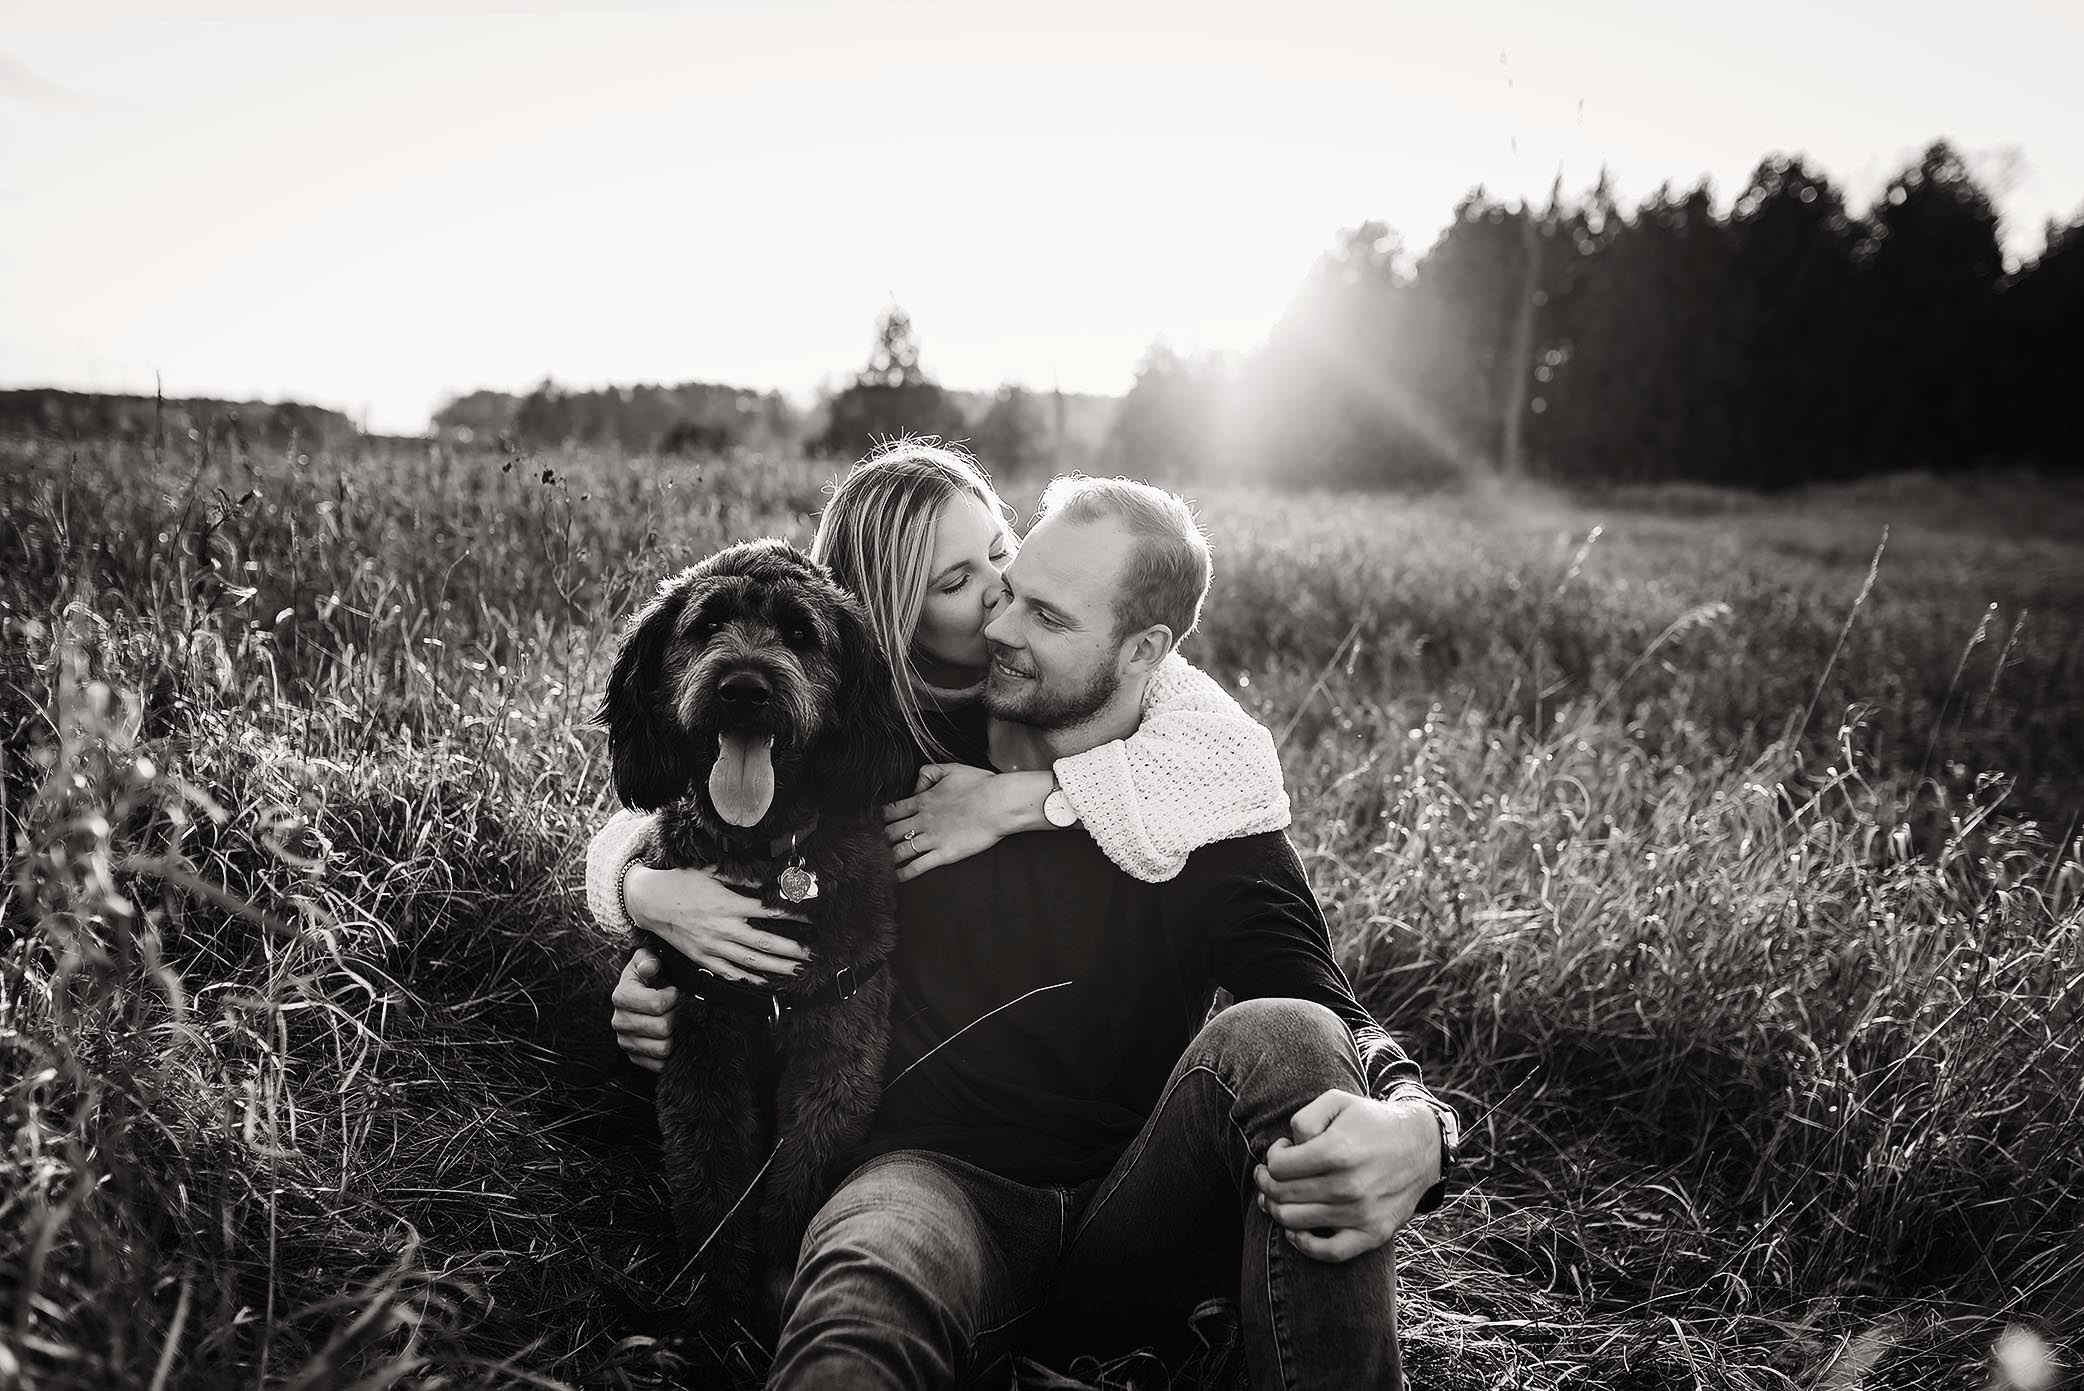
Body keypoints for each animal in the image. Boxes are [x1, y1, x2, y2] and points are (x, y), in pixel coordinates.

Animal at [591, 538, 908, 1343]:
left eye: (801, 634)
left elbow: (799, 1179)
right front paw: (713, 1310)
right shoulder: (700, 1043)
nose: (743, 689)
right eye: (707, 625)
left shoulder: (839, 1047)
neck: (767, 851)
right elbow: (708, 1177)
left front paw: (774, 1288)